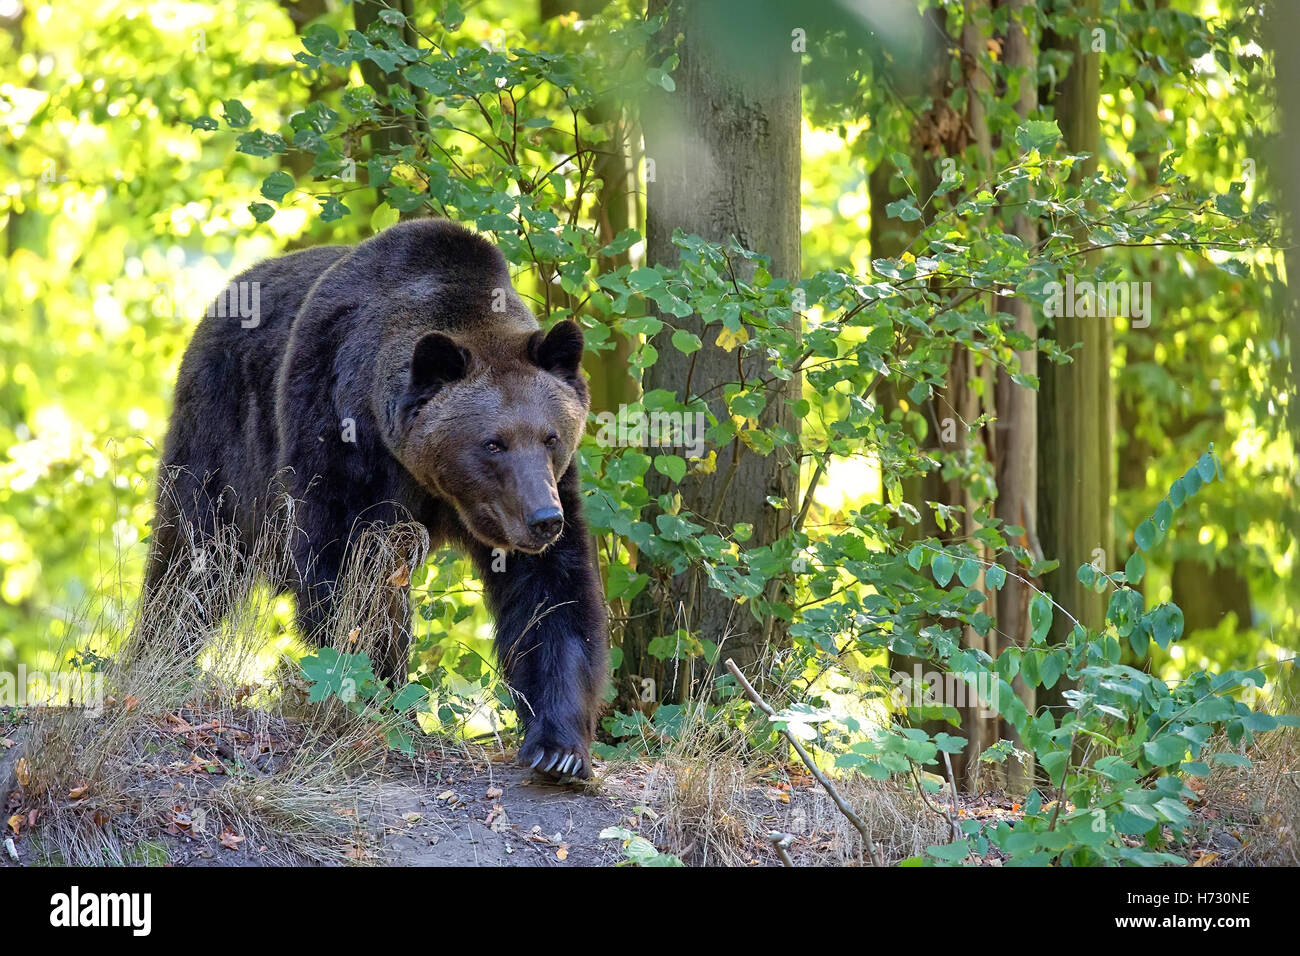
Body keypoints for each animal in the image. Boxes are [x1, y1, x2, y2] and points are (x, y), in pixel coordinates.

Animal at [144, 218, 608, 780]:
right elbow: (350, 574)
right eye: (492, 442)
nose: (542, 519)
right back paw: (157, 658)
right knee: (194, 556)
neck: (433, 482)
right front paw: (376, 695)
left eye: (551, 437)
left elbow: (553, 596)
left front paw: (558, 747)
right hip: (222, 429)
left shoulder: (547, 493)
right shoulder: (339, 438)